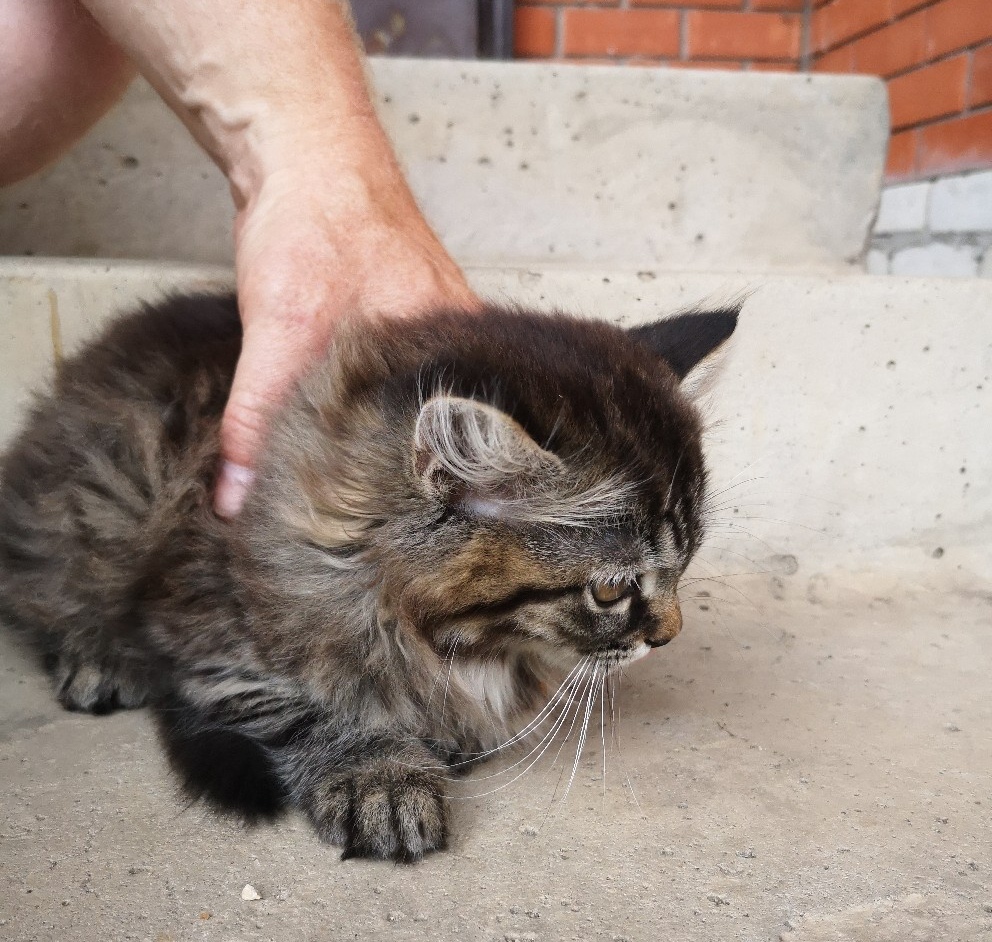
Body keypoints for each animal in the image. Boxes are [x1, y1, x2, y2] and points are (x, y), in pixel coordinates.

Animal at [0, 296, 736, 864]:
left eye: (684, 566)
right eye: (609, 590)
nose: (668, 636)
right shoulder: (203, 623)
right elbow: (308, 707)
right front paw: (381, 777)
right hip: (103, 501)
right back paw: (100, 658)